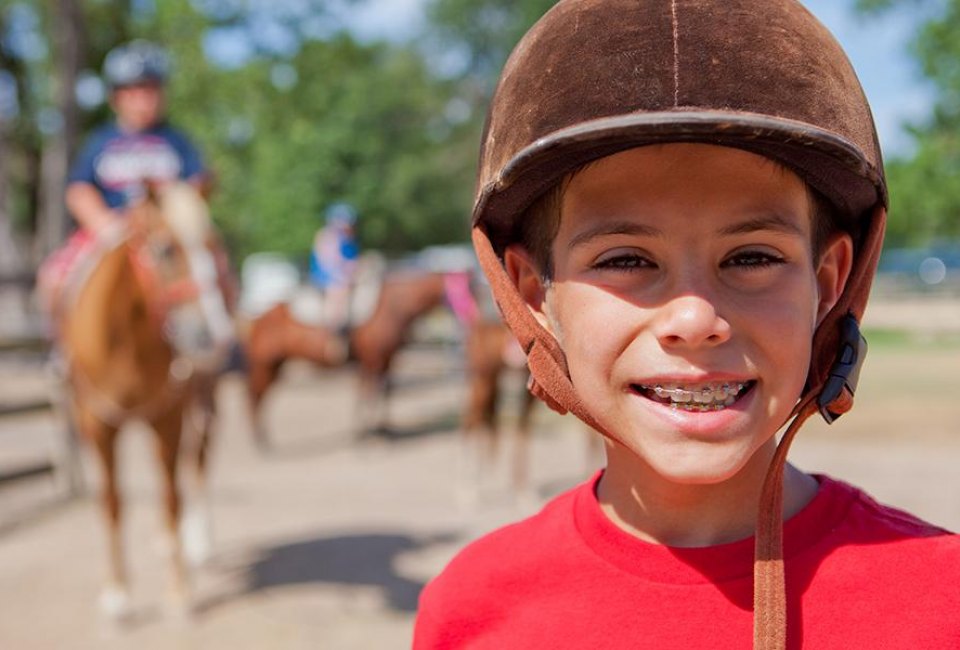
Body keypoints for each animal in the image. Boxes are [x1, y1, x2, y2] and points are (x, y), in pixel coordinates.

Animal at [59, 182, 233, 616]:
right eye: (167, 249)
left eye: (215, 246)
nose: (215, 337)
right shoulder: (97, 423)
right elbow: (112, 503)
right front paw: (117, 593)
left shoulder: (168, 416)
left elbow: (171, 498)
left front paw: (179, 591)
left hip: (203, 397)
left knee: (197, 461)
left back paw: (198, 542)